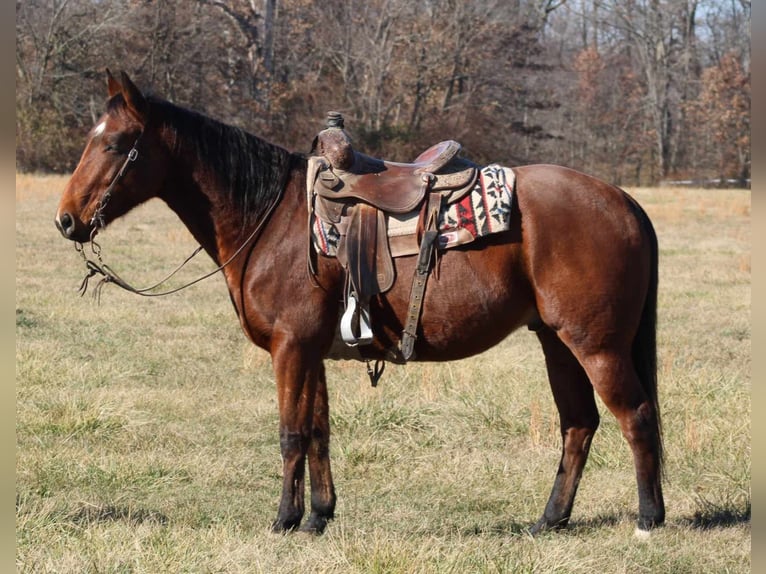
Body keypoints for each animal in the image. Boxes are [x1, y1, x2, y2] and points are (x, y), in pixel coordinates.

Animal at [54, 70, 664, 536]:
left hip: (596, 345)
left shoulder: (291, 348)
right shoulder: (311, 351)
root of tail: (624, 201)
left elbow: (291, 433)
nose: (66, 220)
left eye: (114, 145)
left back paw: (647, 519)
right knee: (579, 424)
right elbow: (319, 431)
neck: (271, 221)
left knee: (635, 416)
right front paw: (318, 517)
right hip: (556, 341)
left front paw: (283, 520)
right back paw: (550, 520)